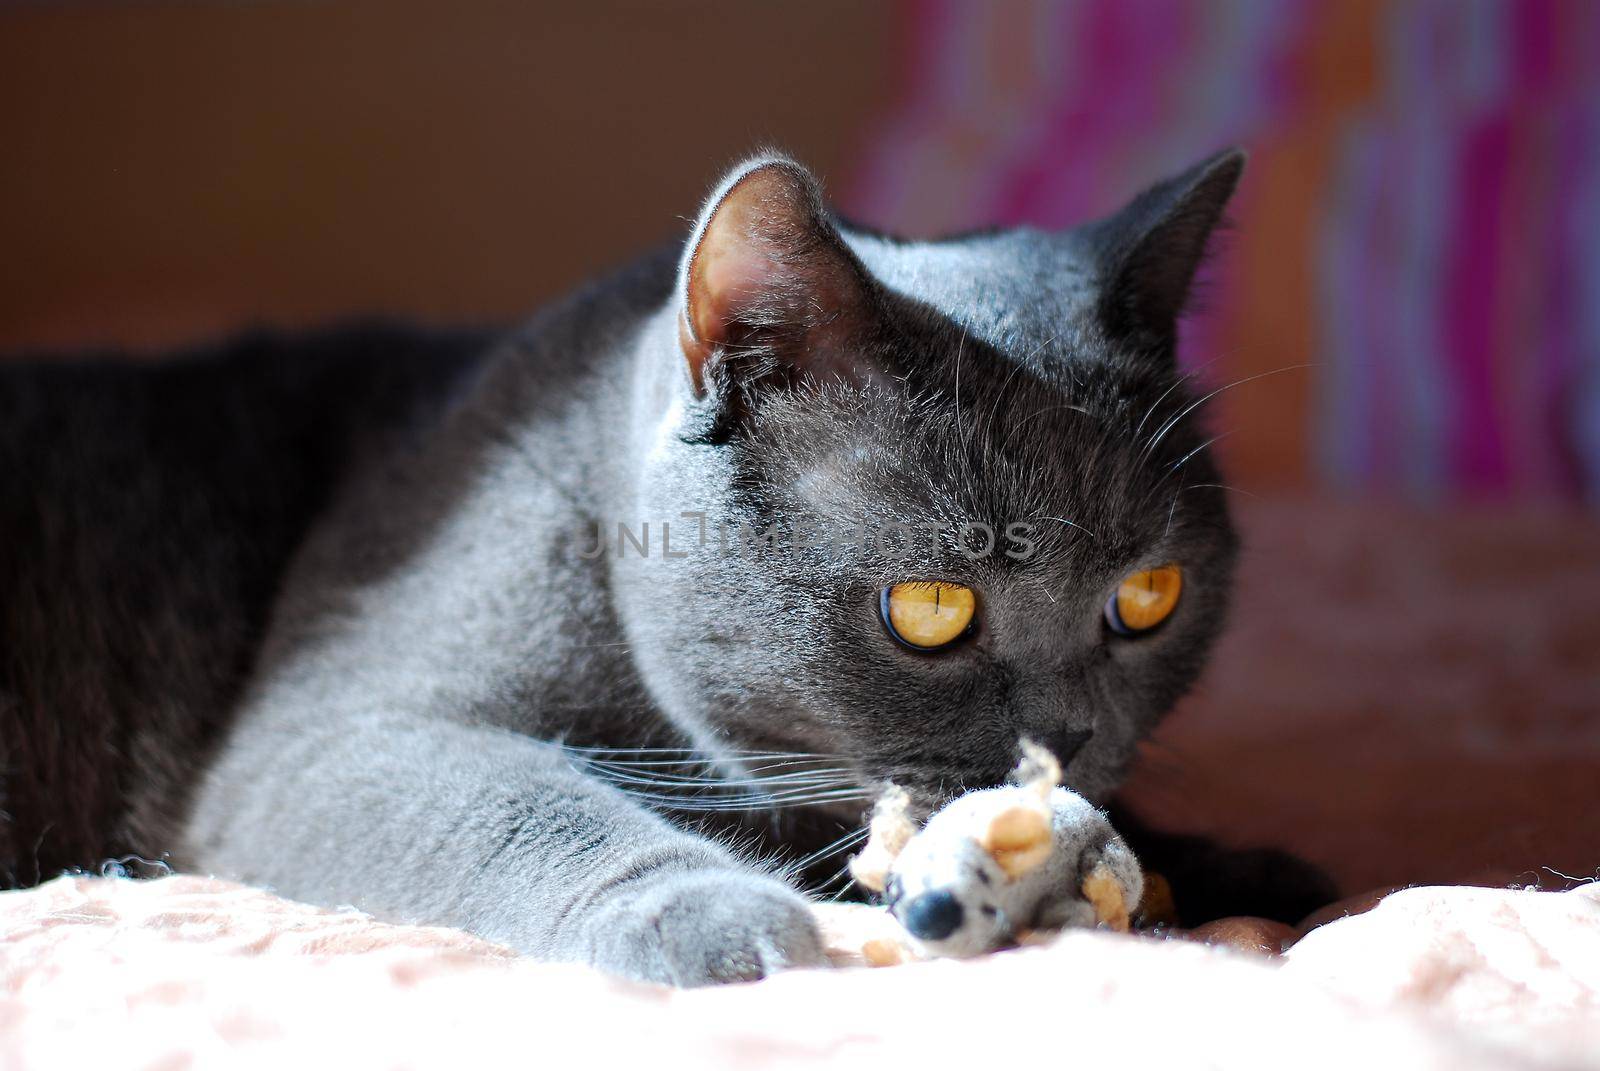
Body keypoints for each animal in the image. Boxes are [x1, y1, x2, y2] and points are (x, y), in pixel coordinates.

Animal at [0, 146, 1331, 979]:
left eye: (1147, 598)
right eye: (931, 609)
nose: (1072, 740)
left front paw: (1232, 865)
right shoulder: (328, 731)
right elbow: (523, 803)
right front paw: (709, 910)